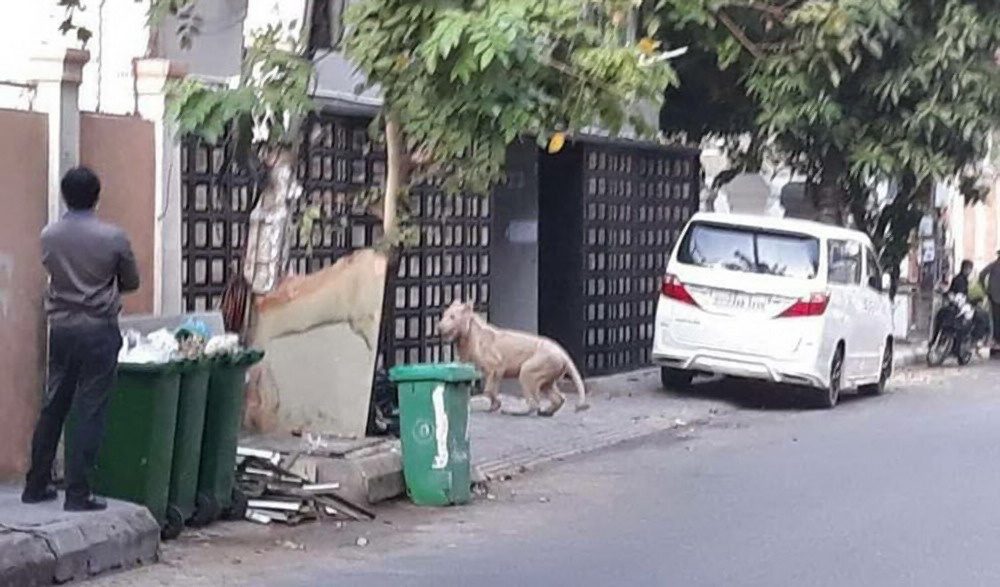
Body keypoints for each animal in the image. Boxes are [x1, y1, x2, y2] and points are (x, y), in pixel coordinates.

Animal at [438, 300, 584, 416]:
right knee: (558, 397)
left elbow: (489, 389)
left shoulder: (496, 366)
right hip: (547, 377)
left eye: (452, 317)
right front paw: (493, 406)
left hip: (530, 369)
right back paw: (546, 412)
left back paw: (515, 411)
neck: (466, 337)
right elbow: (491, 388)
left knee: (535, 402)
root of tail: (563, 353)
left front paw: (496, 405)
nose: (439, 326)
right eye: (444, 314)